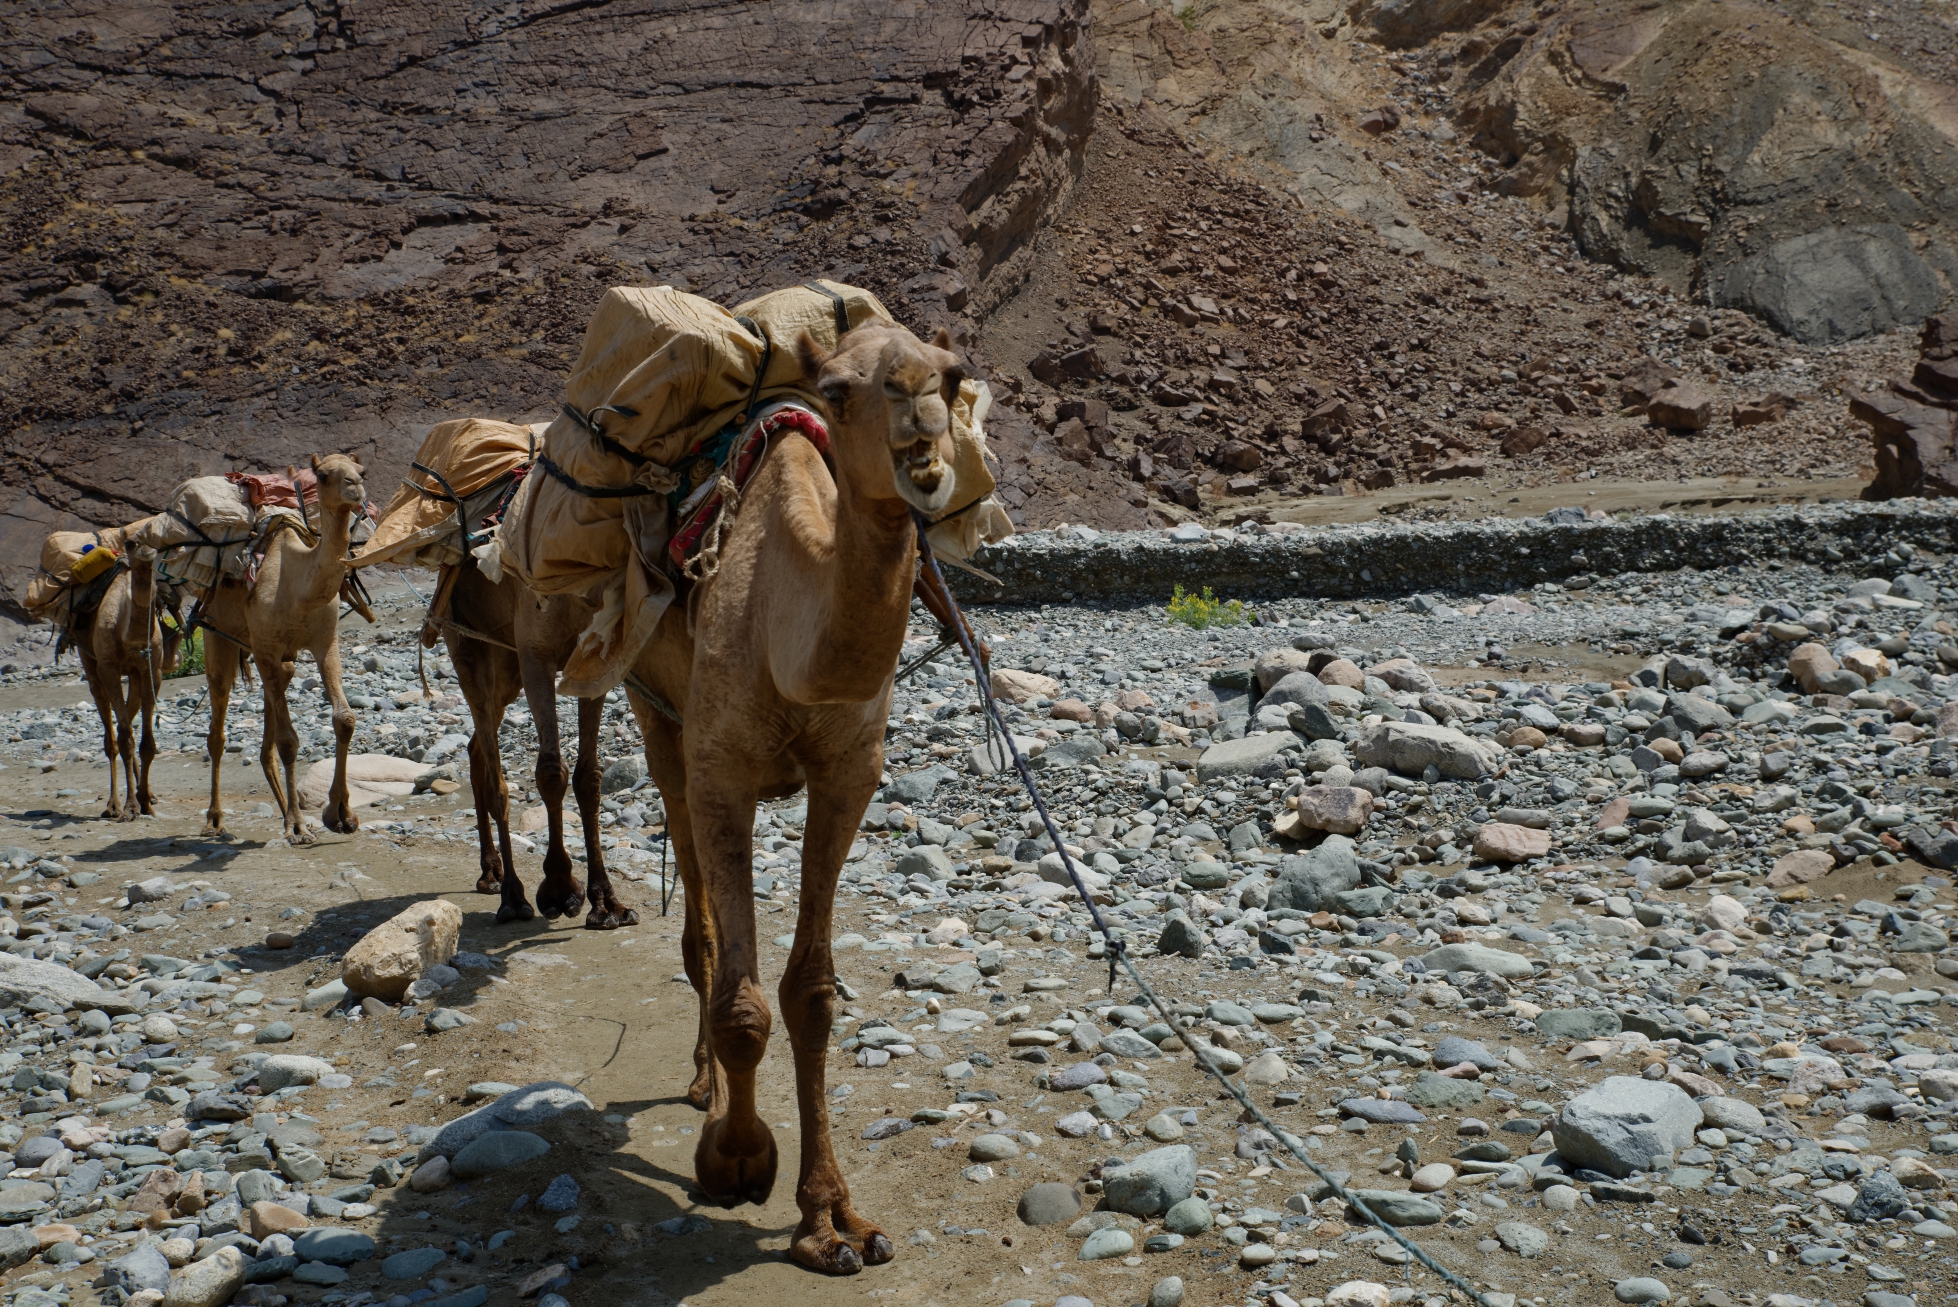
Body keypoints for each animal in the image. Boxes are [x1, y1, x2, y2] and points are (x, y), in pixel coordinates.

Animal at [77, 556, 182, 820]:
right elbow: (124, 740)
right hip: (90, 665)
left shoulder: (151, 670)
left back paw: (149, 794)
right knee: (112, 737)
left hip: (135, 676)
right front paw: (130, 807)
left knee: (127, 720)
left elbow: (147, 743)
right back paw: (113, 805)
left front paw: (145, 801)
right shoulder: (108, 668)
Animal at [197, 453, 367, 844]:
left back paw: (284, 813)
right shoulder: (267, 648)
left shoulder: (325, 642)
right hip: (219, 637)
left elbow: (344, 719)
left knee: (266, 739)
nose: (355, 488)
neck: (298, 588)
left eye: (361, 471)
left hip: (276, 660)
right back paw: (215, 820)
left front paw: (341, 815)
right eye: (324, 475)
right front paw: (301, 828)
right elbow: (289, 741)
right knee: (217, 729)